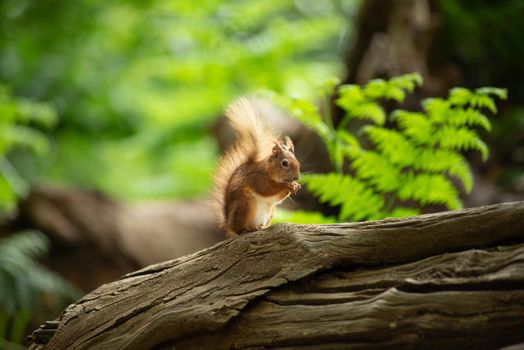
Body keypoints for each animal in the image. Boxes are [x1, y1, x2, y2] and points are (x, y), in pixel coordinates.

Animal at [213, 97, 300, 237]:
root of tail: (229, 225)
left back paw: (261, 226)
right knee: (240, 230)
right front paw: (287, 185)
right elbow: (266, 189)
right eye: (284, 163)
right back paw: (250, 228)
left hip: (270, 211)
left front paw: (295, 186)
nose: (296, 177)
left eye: (298, 162)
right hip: (245, 204)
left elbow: (277, 199)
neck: (269, 171)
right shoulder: (257, 177)